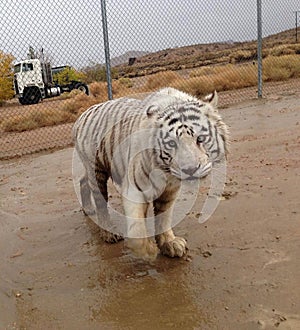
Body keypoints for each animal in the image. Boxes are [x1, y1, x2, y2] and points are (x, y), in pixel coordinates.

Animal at [73, 87, 230, 260]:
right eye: (171, 143)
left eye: (200, 139)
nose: (190, 169)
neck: (166, 173)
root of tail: (83, 114)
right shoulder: (134, 187)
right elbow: (137, 225)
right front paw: (148, 250)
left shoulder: (170, 191)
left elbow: (163, 217)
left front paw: (169, 243)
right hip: (96, 169)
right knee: (100, 203)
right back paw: (108, 232)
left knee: (82, 181)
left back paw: (88, 209)